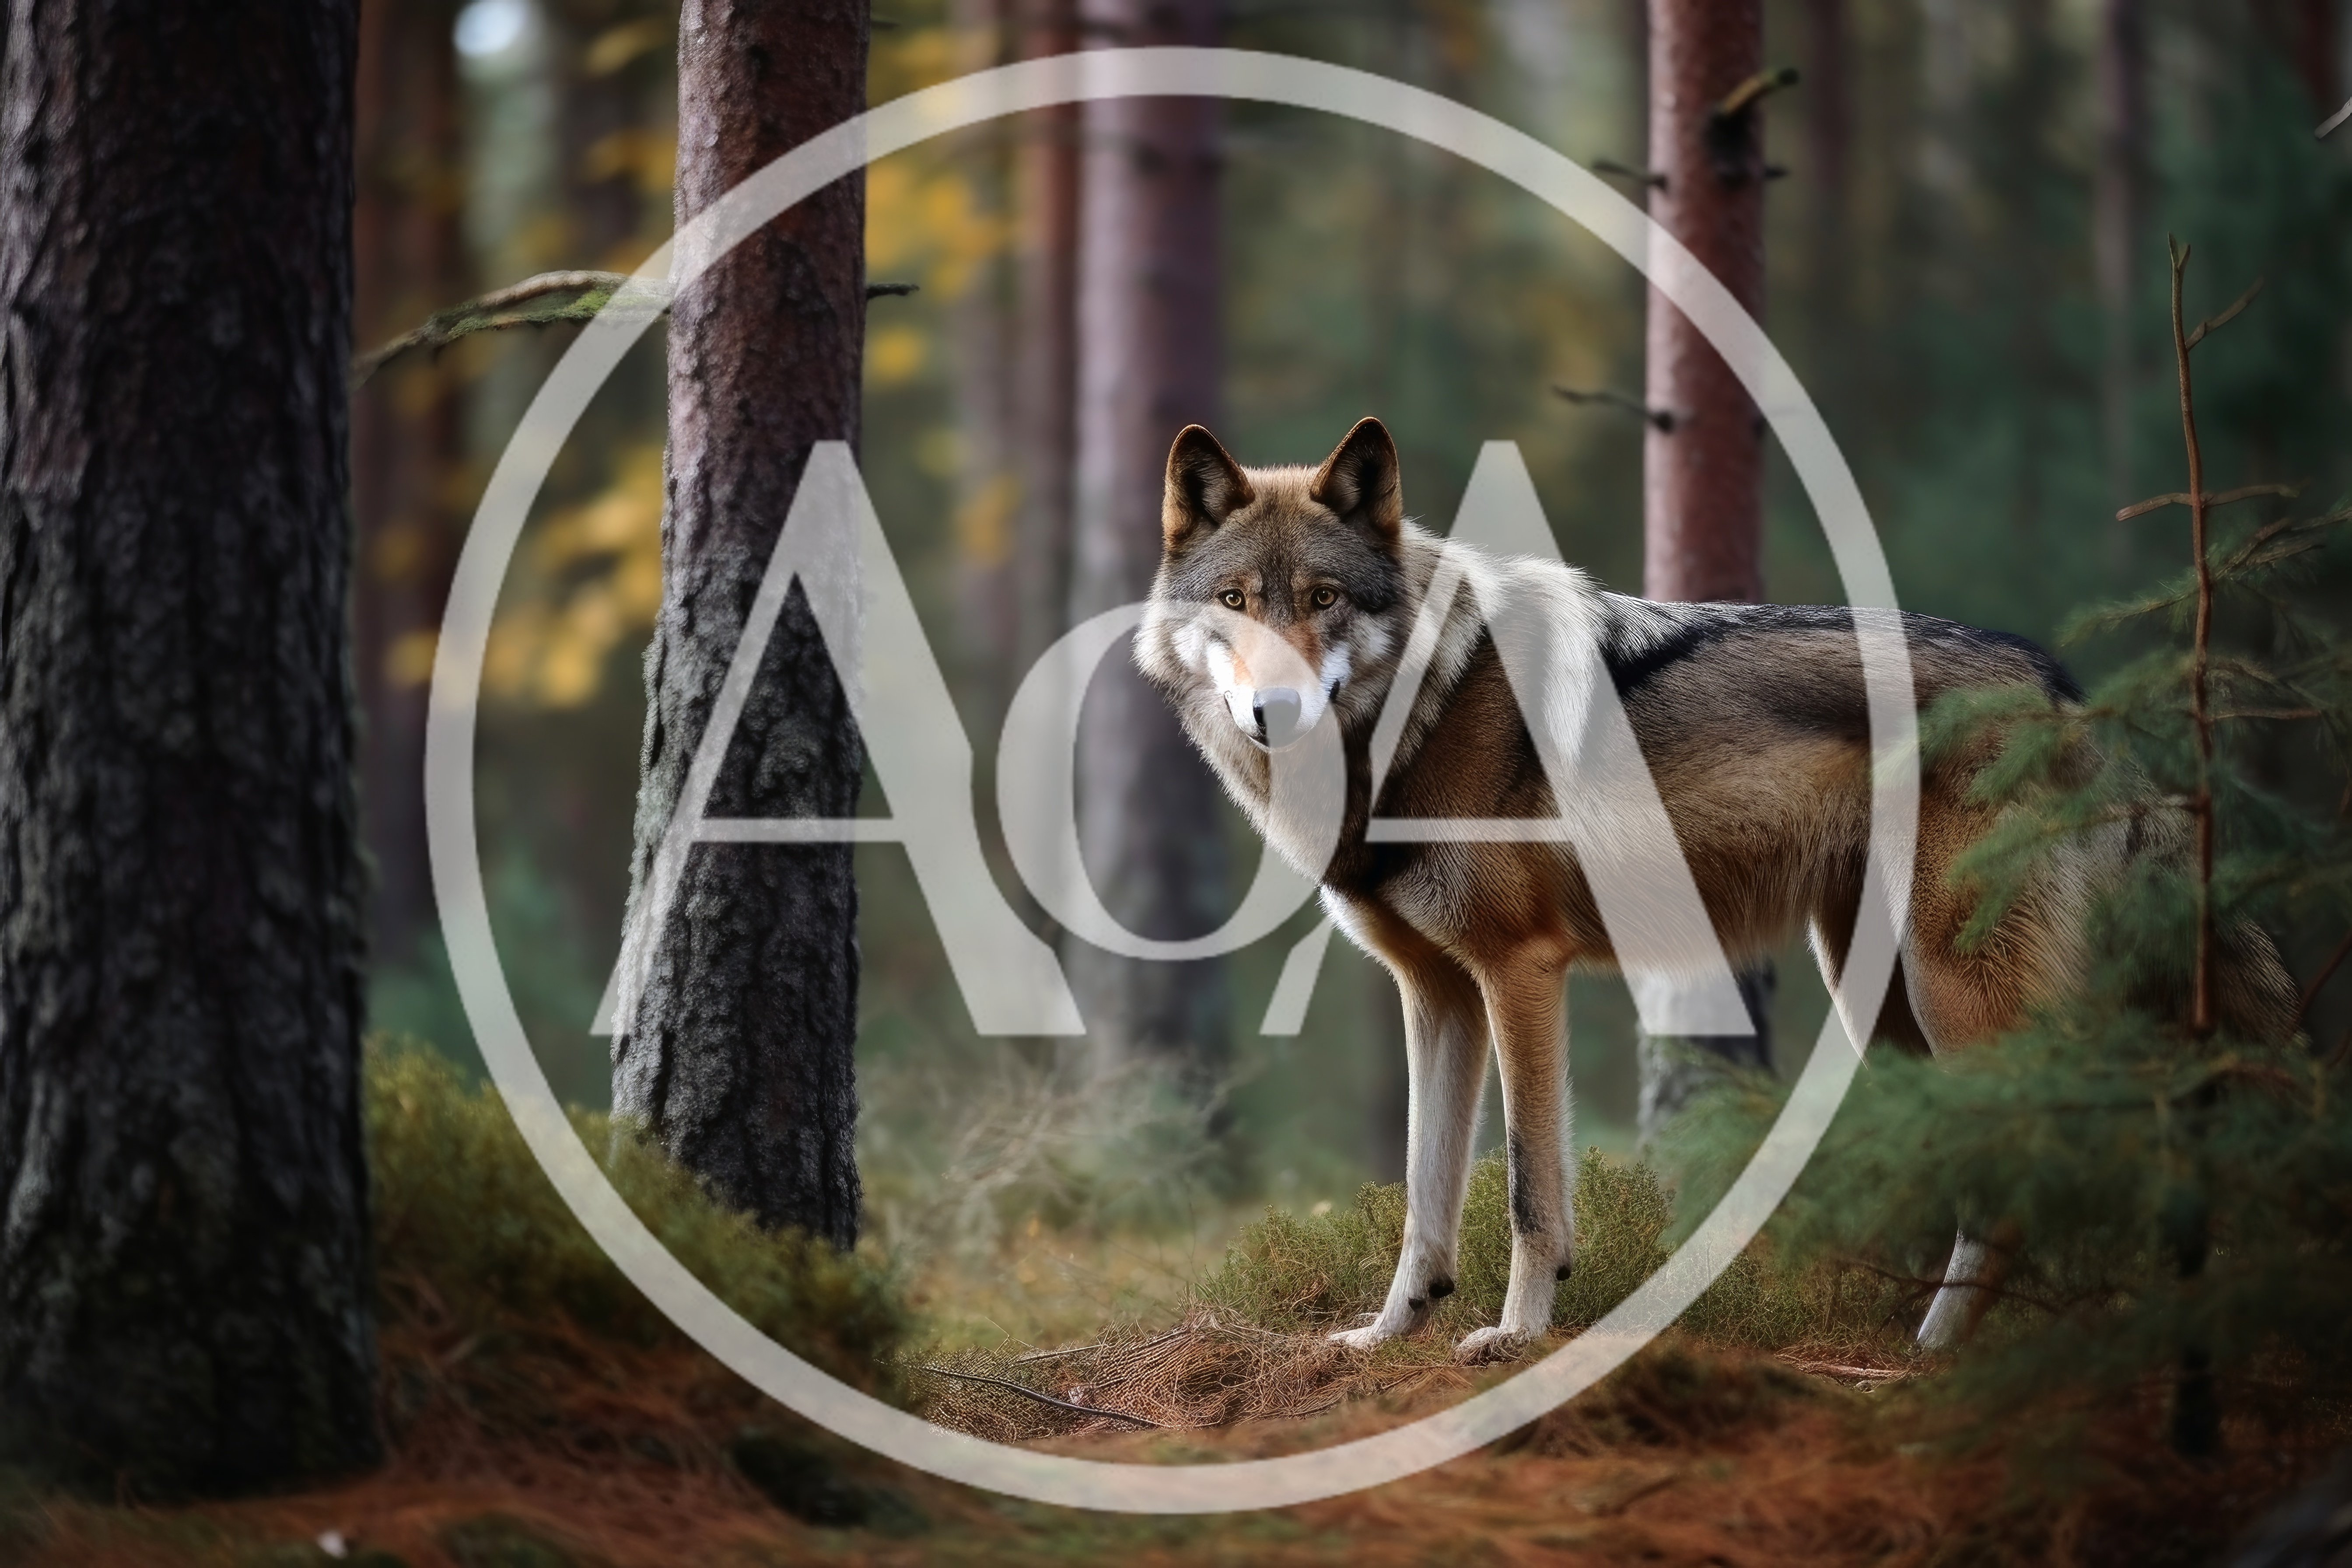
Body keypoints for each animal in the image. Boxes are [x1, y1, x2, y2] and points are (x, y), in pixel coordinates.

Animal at [1135, 415, 2295, 1363]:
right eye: (1237, 603)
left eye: (1323, 601)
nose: (1275, 712)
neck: (1414, 721)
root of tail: (2067, 694)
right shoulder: (1438, 993)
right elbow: (1426, 1194)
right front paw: (1388, 1333)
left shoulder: (1522, 972)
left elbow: (1528, 1189)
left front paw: (1517, 1337)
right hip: (1881, 1005)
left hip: (1954, 998)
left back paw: (1937, 1360)